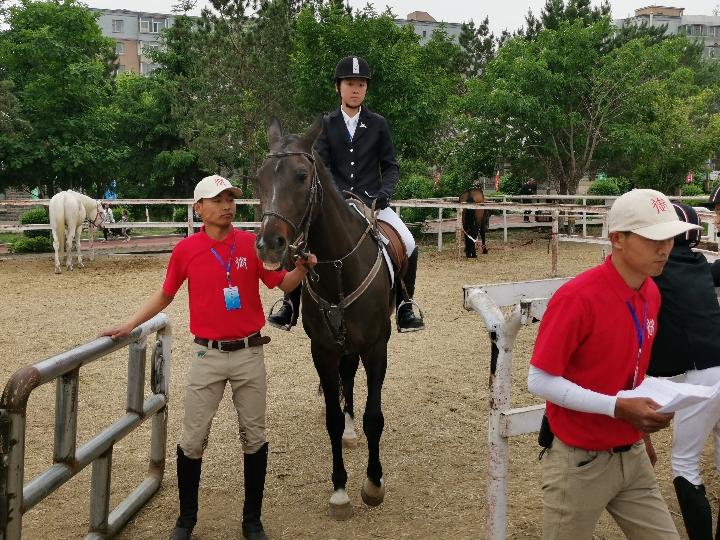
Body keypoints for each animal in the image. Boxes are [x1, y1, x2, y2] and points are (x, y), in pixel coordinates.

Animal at [255, 117, 390, 520]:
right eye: (259, 178)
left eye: (301, 176)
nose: (269, 245)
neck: (339, 266)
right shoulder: (324, 351)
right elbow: (332, 418)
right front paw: (340, 490)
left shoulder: (376, 347)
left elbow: (374, 417)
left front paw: (373, 484)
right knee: (347, 380)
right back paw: (349, 430)